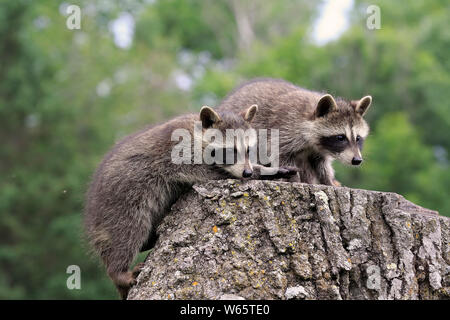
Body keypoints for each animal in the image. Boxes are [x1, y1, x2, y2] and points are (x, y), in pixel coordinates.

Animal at [84, 104, 296, 298]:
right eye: (230, 151)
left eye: (249, 150)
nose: (248, 173)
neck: (199, 134)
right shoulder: (179, 153)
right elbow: (206, 171)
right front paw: (256, 172)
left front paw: (265, 169)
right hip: (121, 201)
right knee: (128, 231)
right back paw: (118, 271)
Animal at [216, 78, 370, 186]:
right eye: (340, 137)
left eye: (358, 138)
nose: (357, 160)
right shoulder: (285, 128)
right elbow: (279, 153)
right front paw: (295, 179)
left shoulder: (318, 149)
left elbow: (321, 164)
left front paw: (328, 181)